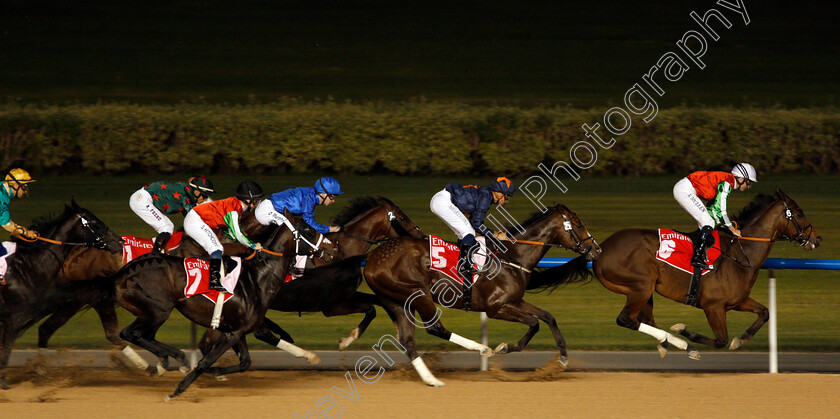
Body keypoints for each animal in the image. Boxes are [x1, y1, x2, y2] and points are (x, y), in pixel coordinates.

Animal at [0, 201, 122, 390]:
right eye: (96, 223)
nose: (120, 242)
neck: (27, 269)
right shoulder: (14, 318)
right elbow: (6, 350)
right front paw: (4, 383)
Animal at [364, 203, 600, 388]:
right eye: (578, 225)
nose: (596, 249)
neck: (512, 257)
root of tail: (372, 259)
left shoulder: (515, 301)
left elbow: (548, 317)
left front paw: (563, 359)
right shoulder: (495, 307)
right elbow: (534, 323)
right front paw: (505, 348)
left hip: (396, 301)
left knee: (407, 340)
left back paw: (431, 379)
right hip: (417, 292)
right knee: (434, 328)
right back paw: (480, 349)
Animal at [592, 189, 820, 360]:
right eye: (799, 213)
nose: (817, 239)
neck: (740, 253)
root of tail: (600, 250)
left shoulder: (736, 301)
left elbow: (764, 312)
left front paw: (742, 339)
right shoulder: (713, 306)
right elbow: (721, 340)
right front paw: (685, 331)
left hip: (646, 290)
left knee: (645, 320)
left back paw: (669, 344)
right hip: (641, 285)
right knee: (626, 319)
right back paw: (683, 343)